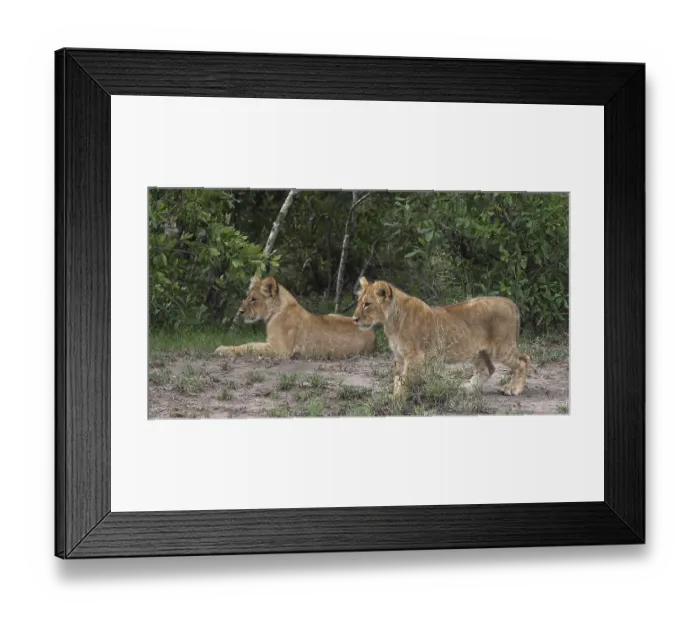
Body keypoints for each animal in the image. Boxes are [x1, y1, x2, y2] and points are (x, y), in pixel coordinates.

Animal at [214, 275, 376, 359]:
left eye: (253, 299)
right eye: (248, 297)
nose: (240, 311)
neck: (278, 310)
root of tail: (373, 334)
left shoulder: (279, 348)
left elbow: (249, 346)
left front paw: (221, 349)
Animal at [352, 277, 531, 396]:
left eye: (367, 304)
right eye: (359, 302)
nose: (354, 319)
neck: (391, 323)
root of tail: (511, 303)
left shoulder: (415, 356)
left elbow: (405, 379)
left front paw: (398, 400)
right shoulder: (400, 356)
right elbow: (397, 378)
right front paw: (394, 396)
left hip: (502, 347)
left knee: (524, 359)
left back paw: (514, 389)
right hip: (477, 350)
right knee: (488, 369)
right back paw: (467, 389)